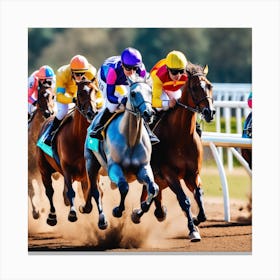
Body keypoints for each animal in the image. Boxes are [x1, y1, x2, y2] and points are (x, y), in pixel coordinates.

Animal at [36, 80, 99, 226]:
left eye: (95, 90)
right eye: (80, 93)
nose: (92, 113)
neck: (78, 138)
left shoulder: (89, 170)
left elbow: (91, 190)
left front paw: (85, 207)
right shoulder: (67, 168)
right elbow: (71, 192)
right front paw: (72, 213)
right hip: (44, 170)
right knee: (49, 191)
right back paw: (52, 217)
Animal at [83, 76, 159, 230]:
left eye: (151, 92)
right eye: (133, 93)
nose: (149, 113)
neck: (131, 139)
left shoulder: (143, 167)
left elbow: (153, 188)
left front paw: (138, 213)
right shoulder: (114, 167)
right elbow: (124, 187)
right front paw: (117, 210)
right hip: (91, 163)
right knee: (95, 191)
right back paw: (102, 220)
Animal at [131, 63, 214, 241]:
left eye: (210, 86)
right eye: (195, 87)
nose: (210, 112)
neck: (181, 137)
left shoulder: (193, 174)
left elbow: (199, 196)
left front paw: (196, 219)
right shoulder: (170, 174)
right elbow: (185, 200)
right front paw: (193, 230)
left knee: (153, 195)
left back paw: (158, 211)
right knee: (148, 196)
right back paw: (139, 213)